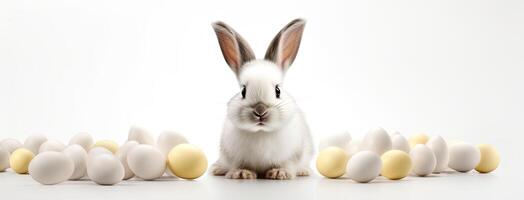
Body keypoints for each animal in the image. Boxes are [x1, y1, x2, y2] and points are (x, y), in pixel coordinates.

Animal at [211, 18, 314, 180]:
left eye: (277, 90)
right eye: (243, 91)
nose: (260, 111)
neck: (261, 133)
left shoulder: (292, 155)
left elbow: (287, 164)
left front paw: (279, 173)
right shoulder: (234, 156)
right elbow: (239, 165)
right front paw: (242, 173)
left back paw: (304, 171)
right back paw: (218, 169)